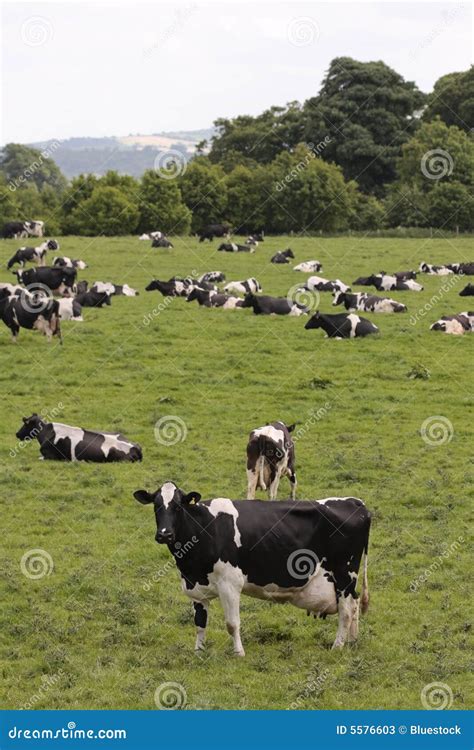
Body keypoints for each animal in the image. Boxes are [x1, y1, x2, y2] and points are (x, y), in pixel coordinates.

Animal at [134, 481, 371, 654]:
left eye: (178, 506)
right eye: (156, 506)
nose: (164, 534)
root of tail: (356, 502)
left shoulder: (230, 584)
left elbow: (232, 623)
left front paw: (239, 653)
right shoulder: (195, 587)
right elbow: (200, 622)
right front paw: (198, 652)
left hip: (344, 574)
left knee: (346, 611)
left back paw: (337, 646)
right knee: (354, 605)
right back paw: (352, 641)